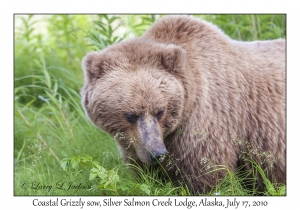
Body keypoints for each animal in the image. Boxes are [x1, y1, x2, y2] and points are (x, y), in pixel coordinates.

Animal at [80, 15, 286, 194]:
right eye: (131, 115)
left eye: (160, 111)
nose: (157, 153)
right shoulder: (135, 144)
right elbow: (145, 176)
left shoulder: (205, 124)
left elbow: (207, 175)